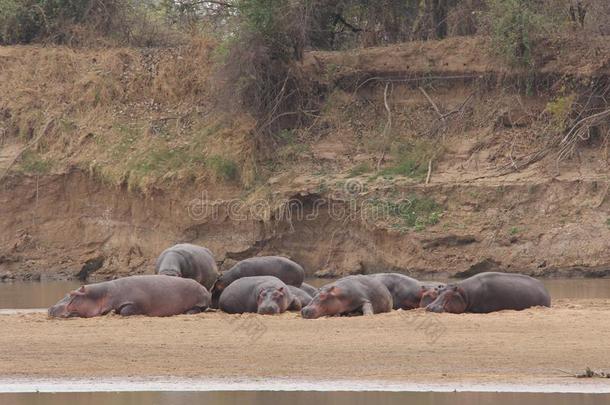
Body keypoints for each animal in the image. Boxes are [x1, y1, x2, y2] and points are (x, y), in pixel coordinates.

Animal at [47, 274, 210, 318]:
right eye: (66, 293)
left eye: (72, 294)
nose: (50, 308)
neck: (101, 295)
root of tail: (204, 288)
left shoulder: (134, 302)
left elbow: (126, 310)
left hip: (199, 301)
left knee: (198, 308)